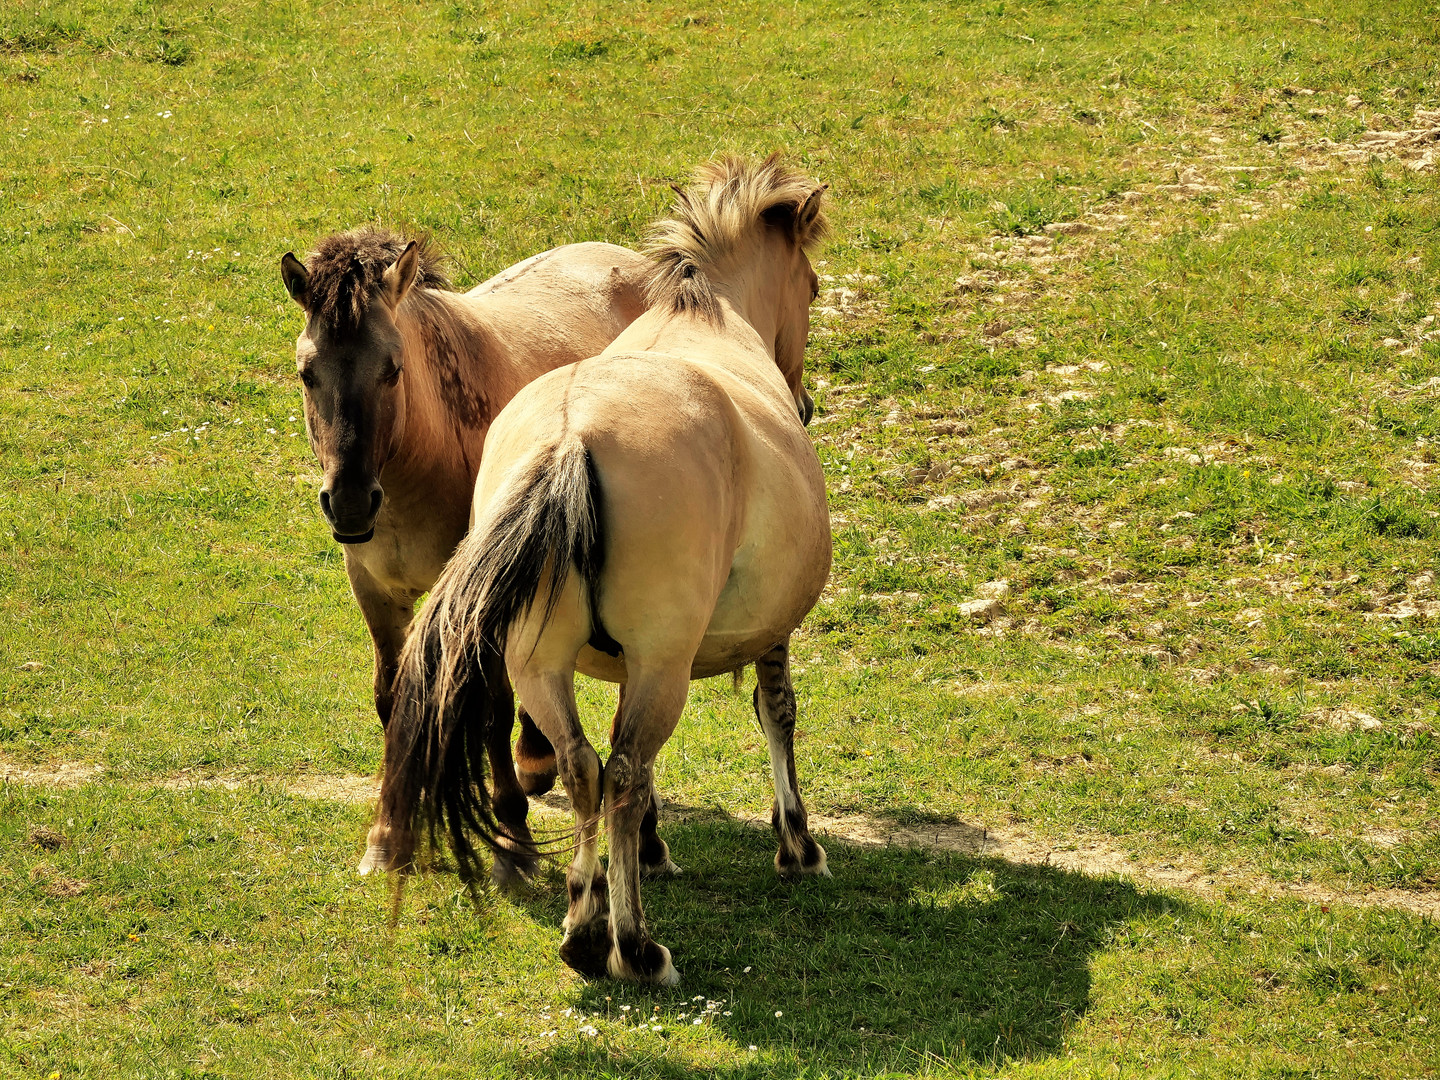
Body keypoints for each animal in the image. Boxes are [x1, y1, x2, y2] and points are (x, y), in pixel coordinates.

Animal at [276, 226, 648, 887]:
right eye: (306, 373)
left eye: (392, 369)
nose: (349, 502)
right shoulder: (375, 590)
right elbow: (393, 699)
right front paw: (388, 837)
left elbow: (490, 706)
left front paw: (513, 835)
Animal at [358, 154, 835, 990]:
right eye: (809, 287)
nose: (804, 402)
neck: (704, 314)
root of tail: (572, 439)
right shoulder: (767, 630)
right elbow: (776, 713)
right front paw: (797, 843)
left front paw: (634, 860)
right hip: (660, 667)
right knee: (621, 774)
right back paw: (635, 945)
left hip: (542, 665)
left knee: (585, 768)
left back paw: (585, 931)